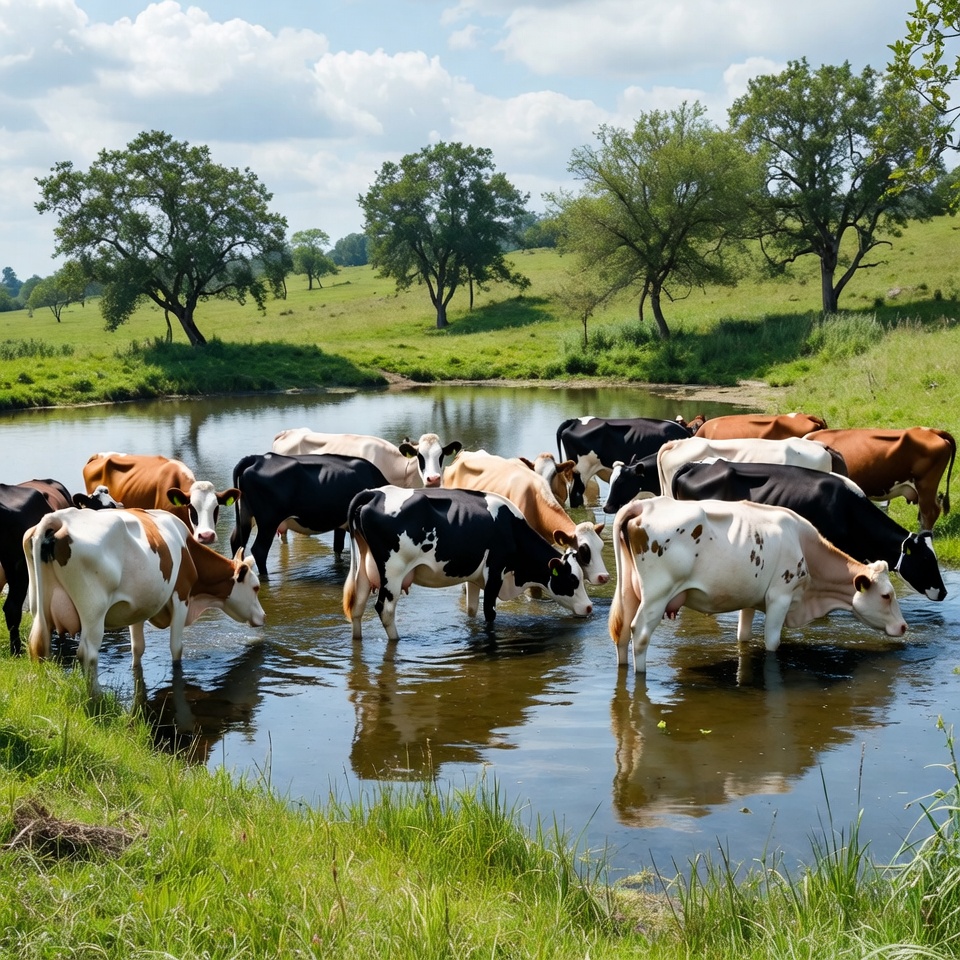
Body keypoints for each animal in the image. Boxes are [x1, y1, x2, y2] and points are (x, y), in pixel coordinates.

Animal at [25, 507, 264, 693]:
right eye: (256, 587)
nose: (263, 616)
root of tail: (61, 518)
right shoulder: (181, 597)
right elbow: (176, 648)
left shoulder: (136, 607)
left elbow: (137, 648)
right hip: (93, 611)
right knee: (87, 653)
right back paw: (97, 698)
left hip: (39, 608)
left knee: (40, 647)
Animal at [229, 452, 390, 577]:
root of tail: (257, 458)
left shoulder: (340, 524)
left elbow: (337, 548)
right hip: (269, 521)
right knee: (259, 550)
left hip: (245, 516)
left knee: (236, 541)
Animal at [343, 486, 594, 641]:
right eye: (572, 580)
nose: (590, 607)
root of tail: (374, 493)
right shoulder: (495, 573)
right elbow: (489, 612)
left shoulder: (474, 578)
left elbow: (471, 610)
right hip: (393, 571)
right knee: (385, 609)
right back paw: (397, 640)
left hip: (363, 571)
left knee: (357, 607)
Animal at [608, 497, 907, 674]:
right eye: (886, 595)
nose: (904, 627)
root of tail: (645, 504)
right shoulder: (780, 598)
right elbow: (772, 642)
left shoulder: (749, 601)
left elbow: (744, 636)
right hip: (656, 595)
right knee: (640, 633)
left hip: (629, 592)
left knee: (621, 634)